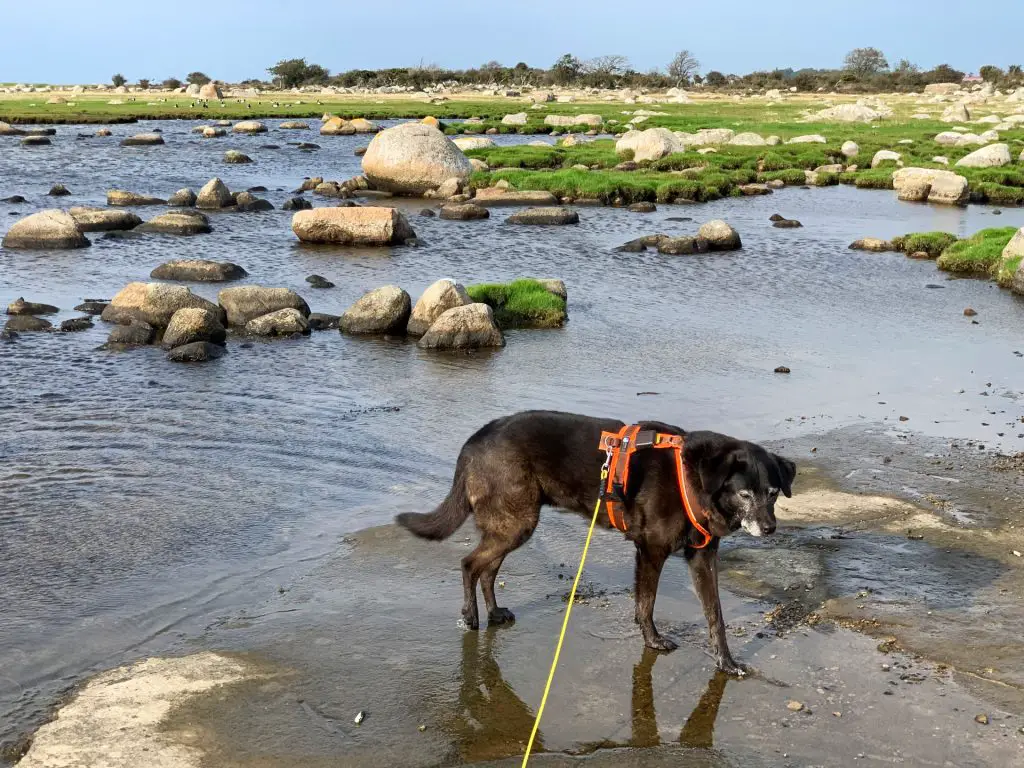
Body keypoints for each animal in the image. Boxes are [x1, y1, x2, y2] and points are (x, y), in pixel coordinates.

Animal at [395, 411, 794, 675]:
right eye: (744, 494)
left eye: (774, 492)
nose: (770, 529)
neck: (695, 477)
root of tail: (475, 439)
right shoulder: (650, 552)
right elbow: (646, 604)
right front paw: (653, 641)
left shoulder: (702, 558)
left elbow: (716, 616)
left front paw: (726, 662)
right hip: (515, 523)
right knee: (469, 565)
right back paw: (471, 616)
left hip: (511, 524)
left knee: (487, 569)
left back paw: (494, 613)